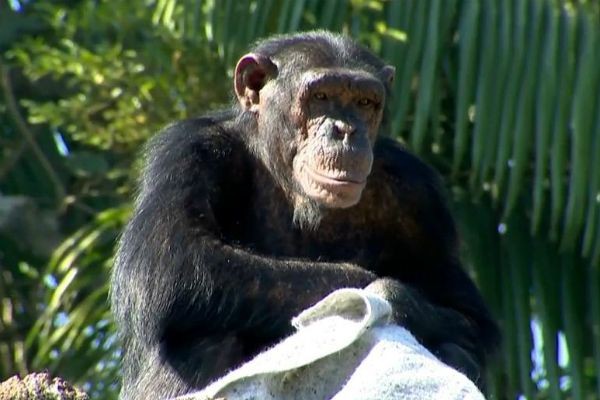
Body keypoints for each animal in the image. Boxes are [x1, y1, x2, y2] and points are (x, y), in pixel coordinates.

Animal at [110, 32, 500, 400]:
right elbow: (168, 261)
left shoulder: (420, 196)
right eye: (321, 97)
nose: (346, 131)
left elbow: (470, 319)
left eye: (364, 102)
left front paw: (392, 296)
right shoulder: (188, 151)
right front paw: (373, 292)